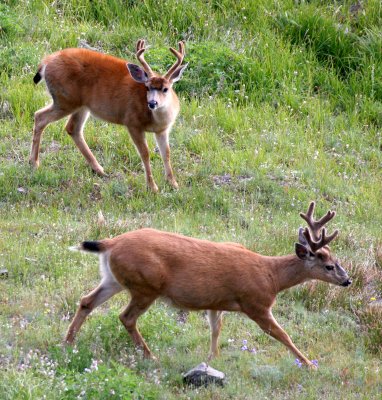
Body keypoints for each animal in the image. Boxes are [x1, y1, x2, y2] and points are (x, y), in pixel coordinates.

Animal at [29, 39, 187, 193]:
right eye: (147, 87)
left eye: (165, 89)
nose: (152, 103)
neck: (155, 119)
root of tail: (45, 62)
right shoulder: (132, 123)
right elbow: (145, 153)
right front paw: (152, 187)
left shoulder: (163, 130)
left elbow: (166, 153)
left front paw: (173, 183)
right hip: (65, 100)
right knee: (40, 116)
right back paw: (34, 163)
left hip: (81, 106)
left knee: (72, 128)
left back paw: (99, 169)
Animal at [66, 202, 352, 368]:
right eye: (329, 265)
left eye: (337, 260)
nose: (347, 280)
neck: (272, 276)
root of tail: (110, 243)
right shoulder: (256, 303)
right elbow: (282, 334)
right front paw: (309, 364)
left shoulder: (217, 302)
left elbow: (216, 329)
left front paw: (212, 359)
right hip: (145, 286)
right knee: (126, 317)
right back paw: (150, 356)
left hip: (114, 279)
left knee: (86, 301)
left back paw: (68, 343)